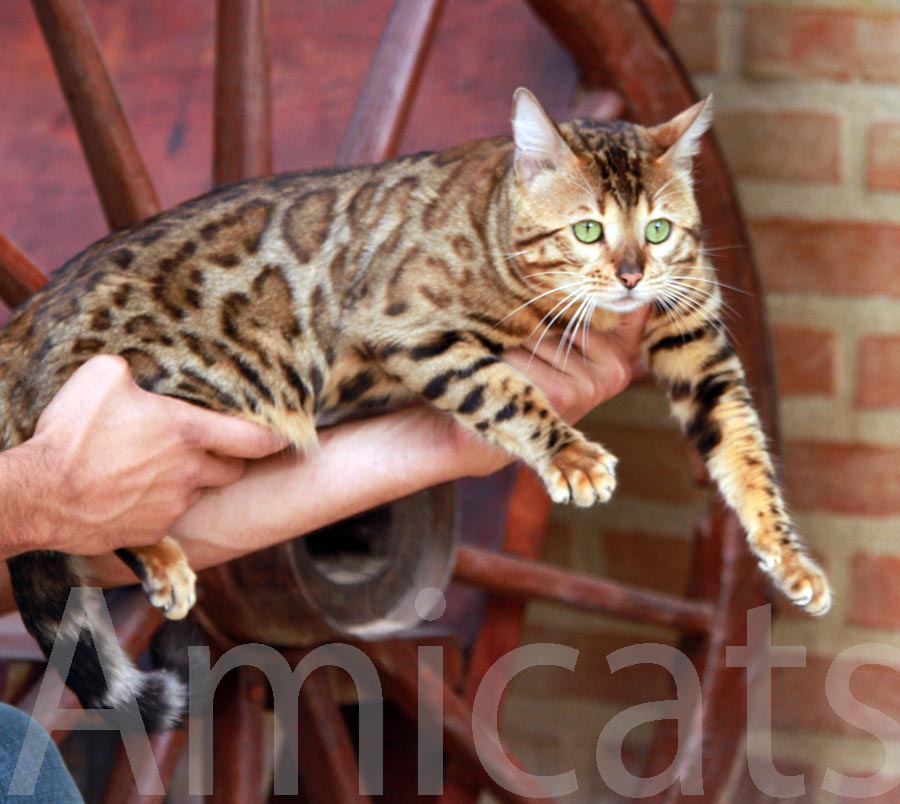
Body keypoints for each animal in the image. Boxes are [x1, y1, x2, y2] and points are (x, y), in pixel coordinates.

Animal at [0, 91, 828, 732]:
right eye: (588, 229)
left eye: (658, 229)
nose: (630, 275)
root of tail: (24, 331)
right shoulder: (404, 325)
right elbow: (505, 389)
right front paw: (570, 454)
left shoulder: (698, 343)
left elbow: (746, 453)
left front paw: (789, 559)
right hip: (196, 398)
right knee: (92, 504)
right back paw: (162, 557)